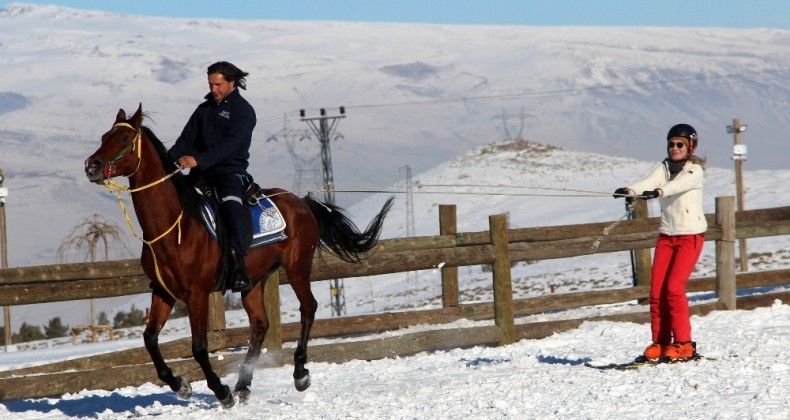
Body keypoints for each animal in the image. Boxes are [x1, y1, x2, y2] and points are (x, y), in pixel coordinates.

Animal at [84, 104, 392, 406]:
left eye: (124, 138)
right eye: (103, 137)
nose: (91, 166)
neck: (176, 226)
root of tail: (302, 202)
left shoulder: (197, 294)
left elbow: (199, 347)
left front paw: (221, 392)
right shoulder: (162, 291)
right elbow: (149, 339)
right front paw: (180, 384)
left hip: (297, 268)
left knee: (308, 309)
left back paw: (299, 374)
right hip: (253, 281)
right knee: (260, 326)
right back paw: (243, 386)